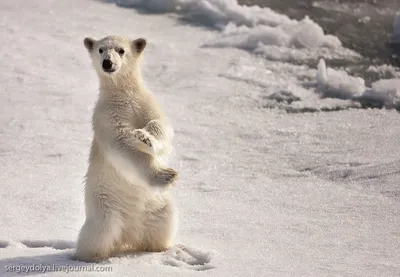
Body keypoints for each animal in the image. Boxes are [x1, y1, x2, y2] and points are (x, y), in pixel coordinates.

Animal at [72, 35, 178, 260]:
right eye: (101, 49)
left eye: (121, 50)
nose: (107, 63)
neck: (122, 95)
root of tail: (129, 235)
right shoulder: (106, 116)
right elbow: (122, 145)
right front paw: (166, 175)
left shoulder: (145, 103)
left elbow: (160, 125)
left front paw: (145, 137)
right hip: (104, 206)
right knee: (98, 234)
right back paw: (89, 257)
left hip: (158, 206)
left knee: (164, 223)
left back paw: (162, 248)